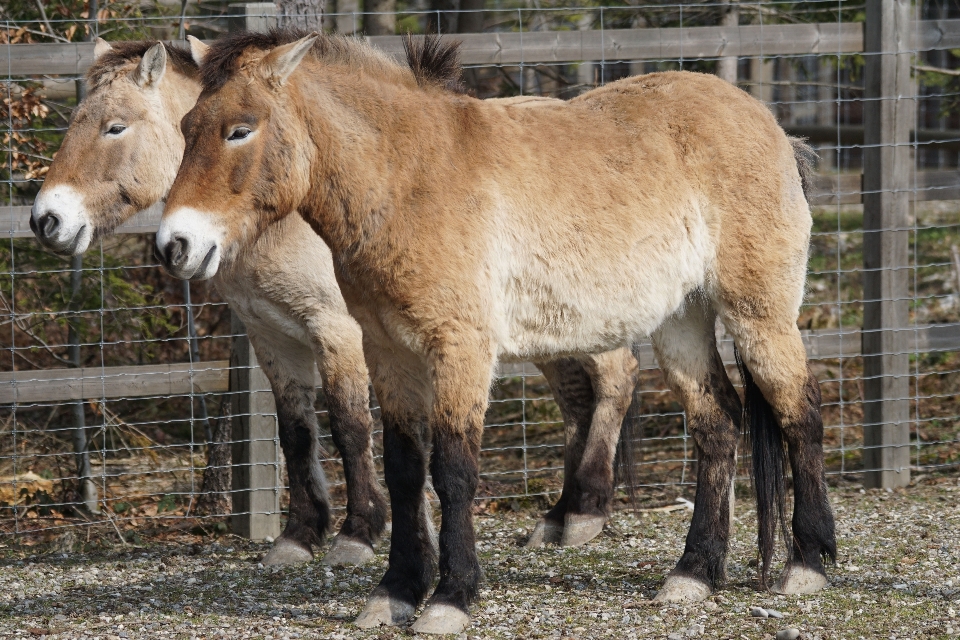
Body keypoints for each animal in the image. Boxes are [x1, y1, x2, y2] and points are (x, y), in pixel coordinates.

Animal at [158, 31, 832, 636]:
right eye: (187, 126)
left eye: (241, 129)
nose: (175, 245)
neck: (408, 179)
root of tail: (773, 128)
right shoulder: (388, 352)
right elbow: (405, 468)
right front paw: (395, 593)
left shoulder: (460, 348)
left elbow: (454, 469)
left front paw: (450, 599)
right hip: (681, 322)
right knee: (718, 424)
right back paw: (694, 573)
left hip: (758, 315)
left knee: (799, 413)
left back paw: (807, 565)